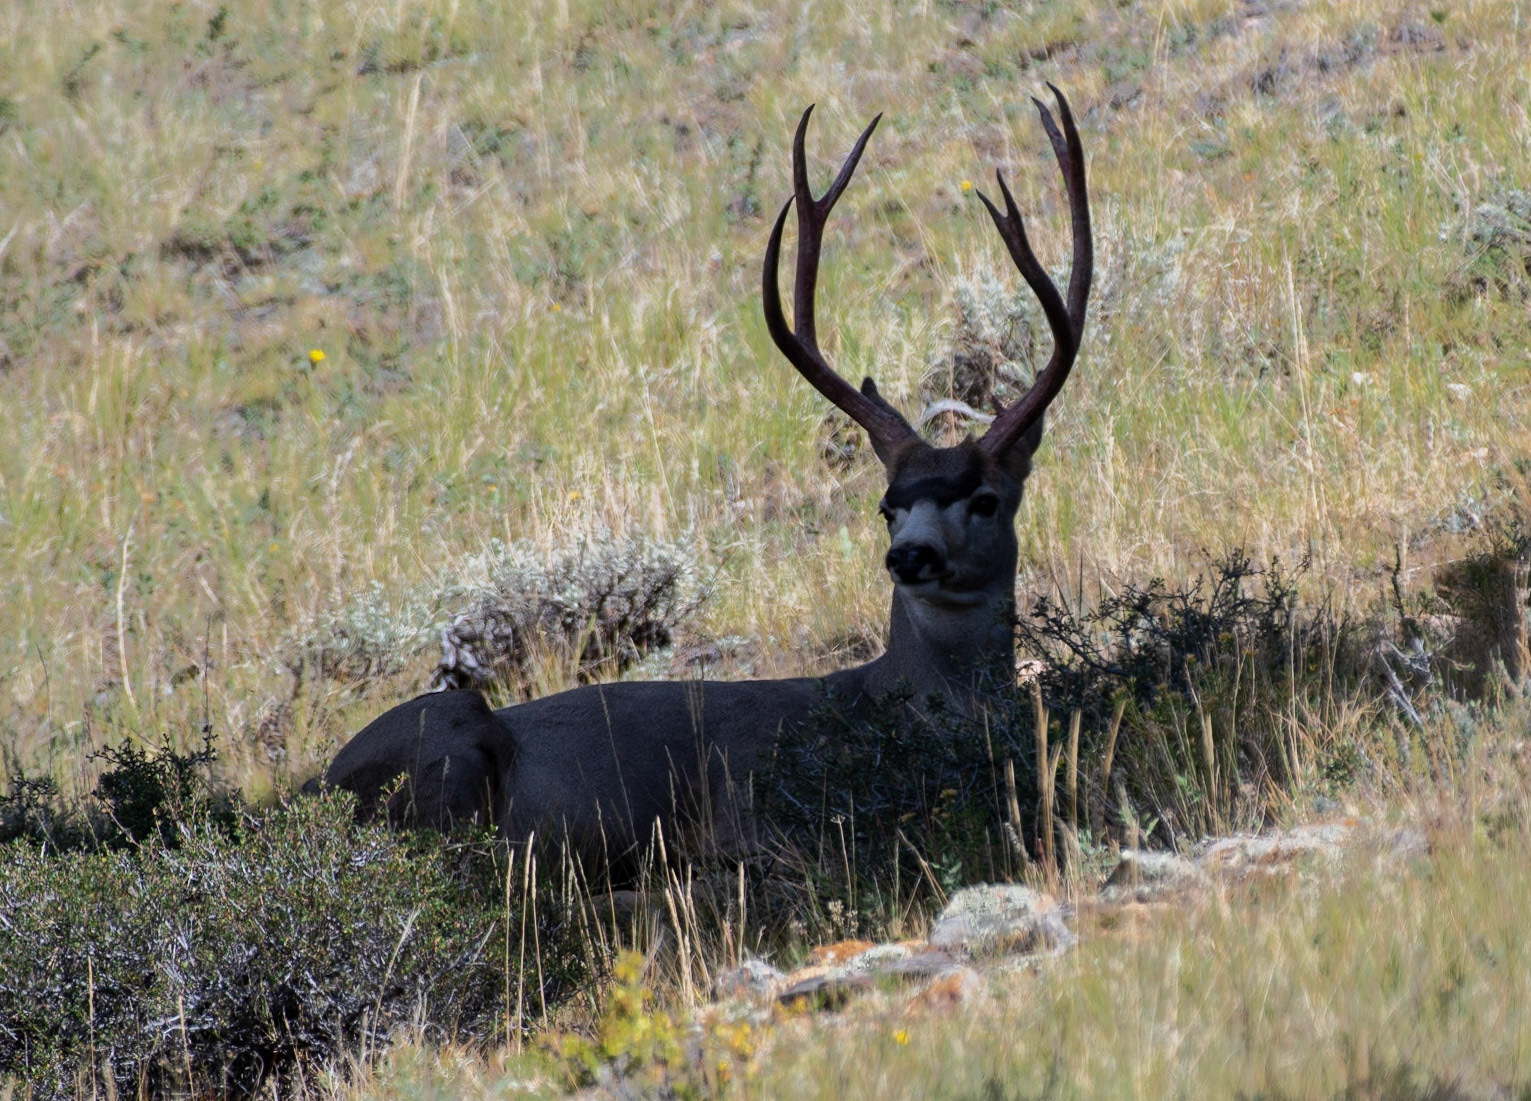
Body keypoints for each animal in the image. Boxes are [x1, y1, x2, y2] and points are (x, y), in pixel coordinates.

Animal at [312, 86, 1092, 870]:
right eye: (886, 506)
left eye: (986, 500)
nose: (910, 555)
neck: (882, 702)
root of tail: (307, 795)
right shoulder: (755, 811)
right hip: (452, 736)